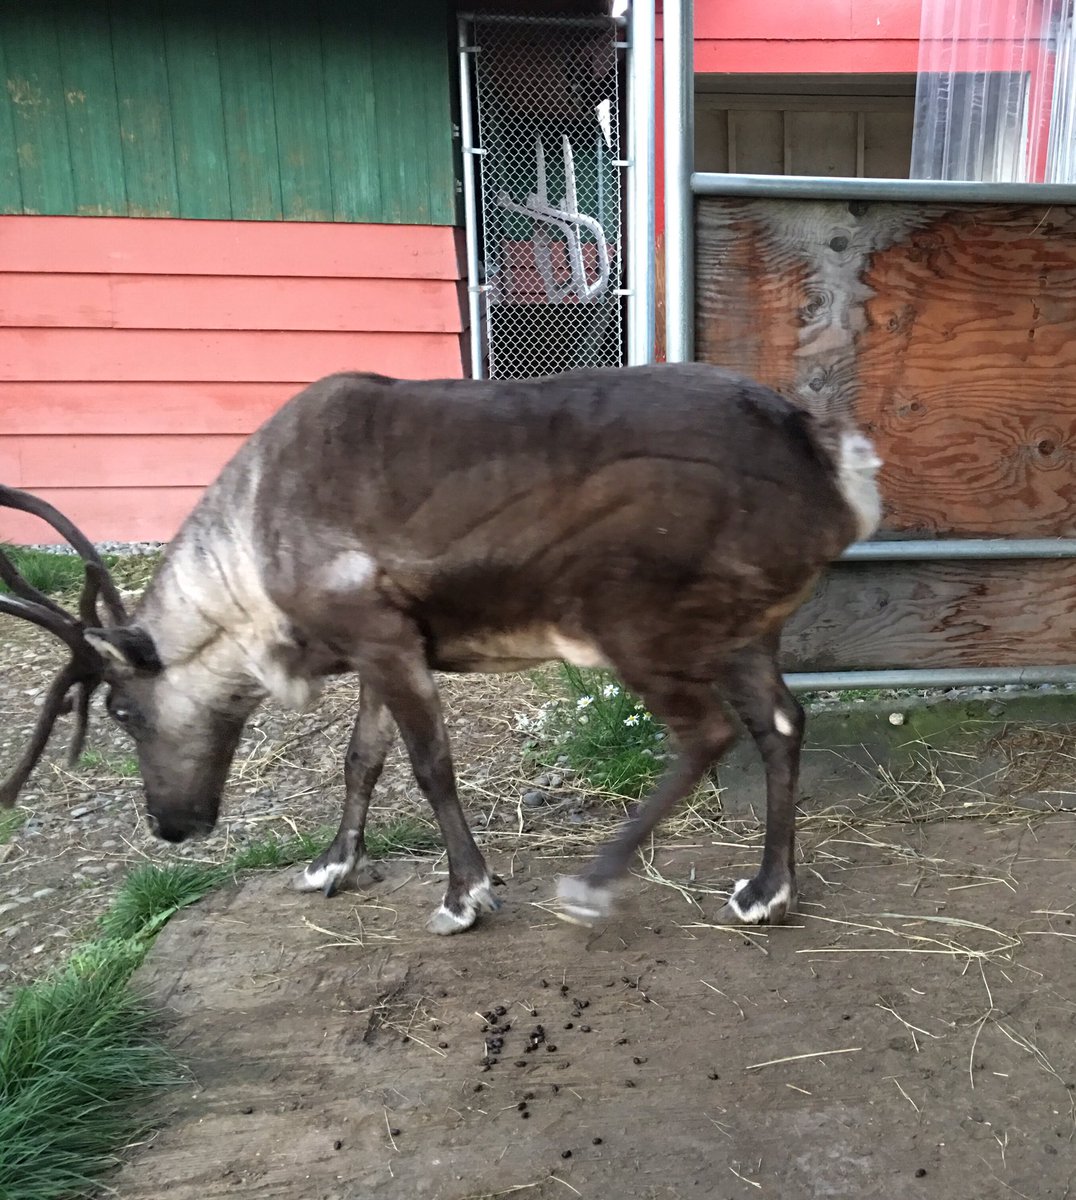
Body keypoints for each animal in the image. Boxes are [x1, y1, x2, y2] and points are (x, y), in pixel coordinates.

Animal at [0, 363, 881, 935]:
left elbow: (430, 768)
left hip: (637, 624)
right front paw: (332, 864)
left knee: (709, 732)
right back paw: (769, 890)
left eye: (122, 710)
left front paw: (466, 895)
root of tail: (831, 465)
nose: (169, 827)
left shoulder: (384, 639)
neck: (247, 575)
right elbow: (361, 760)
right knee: (782, 724)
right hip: (748, 631)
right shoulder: (370, 648)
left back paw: (594, 883)